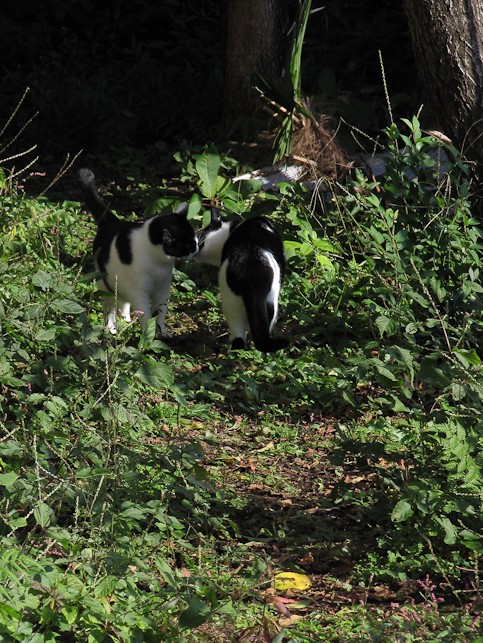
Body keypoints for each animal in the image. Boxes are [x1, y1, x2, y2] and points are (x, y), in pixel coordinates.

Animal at [76, 169, 198, 340]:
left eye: (195, 239)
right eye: (190, 245)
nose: (198, 248)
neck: (159, 263)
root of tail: (111, 221)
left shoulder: (163, 289)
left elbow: (160, 313)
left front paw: (162, 332)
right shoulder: (139, 292)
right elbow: (146, 315)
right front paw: (149, 337)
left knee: (123, 302)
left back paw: (125, 320)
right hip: (106, 285)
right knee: (110, 309)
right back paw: (111, 329)